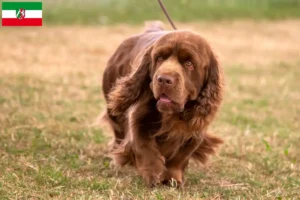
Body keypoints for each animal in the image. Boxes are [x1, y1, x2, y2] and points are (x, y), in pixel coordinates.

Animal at [102, 21, 224, 188]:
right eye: (159, 58)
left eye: (189, 63)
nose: (164, 79)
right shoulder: (138, 117)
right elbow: (143, 145)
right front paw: (154, 174)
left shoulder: (196, 129)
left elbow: (181, 156)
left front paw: (173, 178)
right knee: (119, 133)